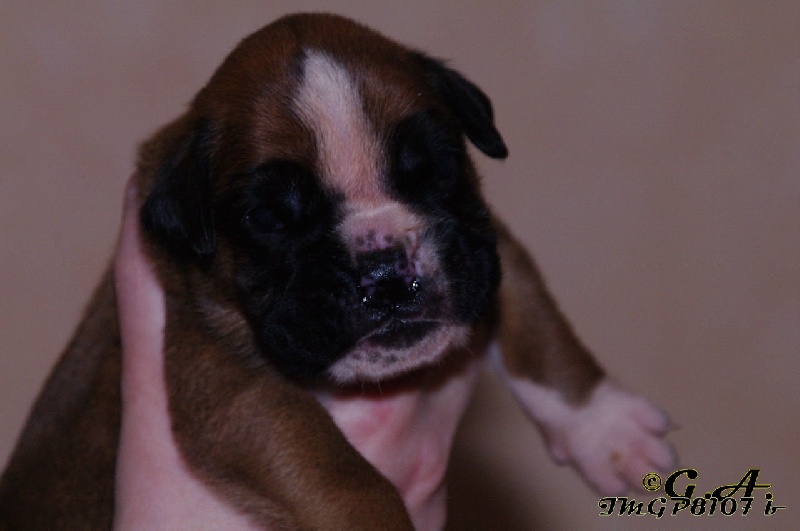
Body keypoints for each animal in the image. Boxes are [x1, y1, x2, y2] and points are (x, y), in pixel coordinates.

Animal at [0, 13, 674, 530]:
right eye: (269, 218)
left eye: (435, 168)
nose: (384, 270)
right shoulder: (227, 384)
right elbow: (343, 475)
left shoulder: (481, 245)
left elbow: (536, 324)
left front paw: (604, 426)